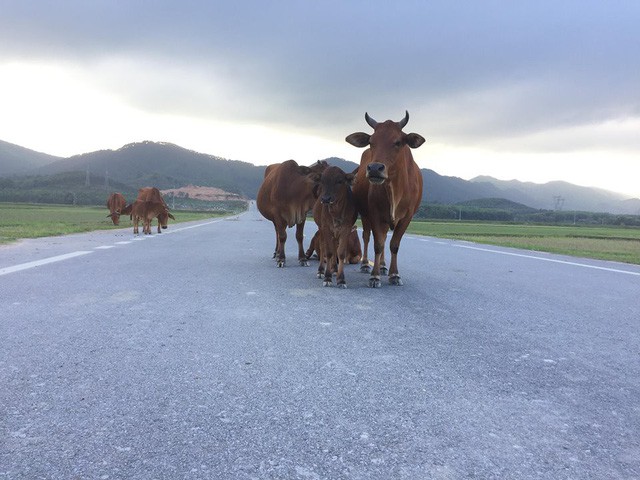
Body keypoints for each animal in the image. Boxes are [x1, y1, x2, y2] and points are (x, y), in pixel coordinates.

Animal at [344, 110, 424, 286]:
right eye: (371, 142)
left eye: (398, 142)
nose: (375, 168)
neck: (395, 189)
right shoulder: (375, 214)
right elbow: (378, 244)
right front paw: (374, 276)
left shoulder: (407, 217)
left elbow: (394, 245)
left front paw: (394, 274)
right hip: (365, 215)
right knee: (367, 237)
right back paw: (366, 264)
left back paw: (382, 266)